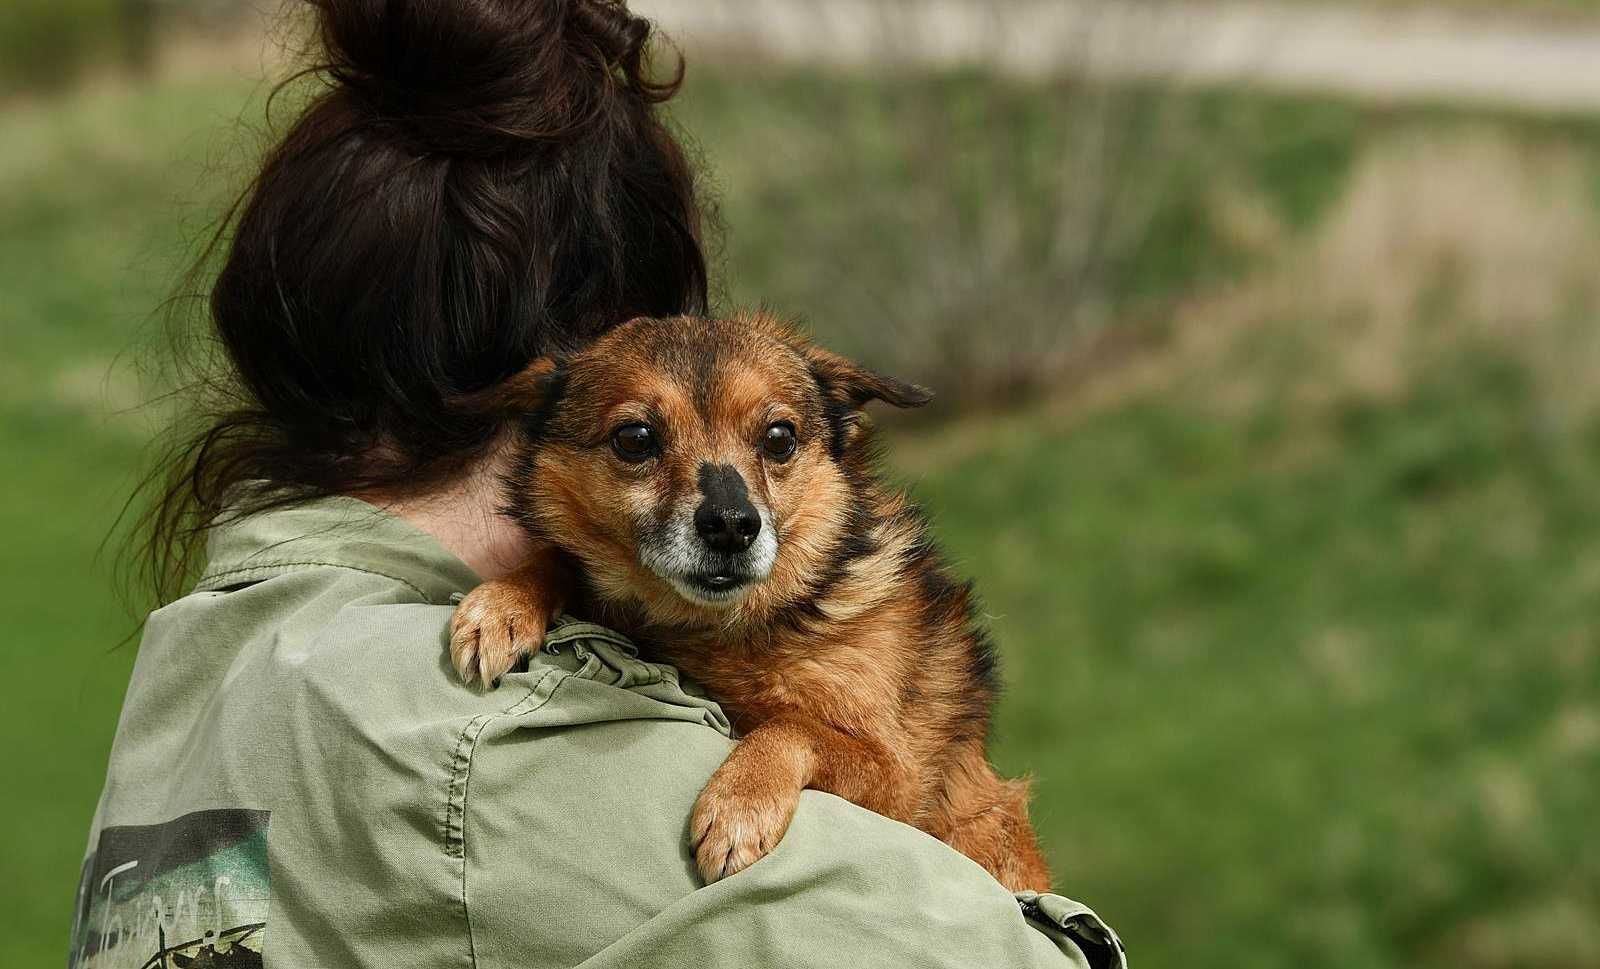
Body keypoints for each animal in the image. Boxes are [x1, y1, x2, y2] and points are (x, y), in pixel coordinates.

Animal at [444, 315, 1056, 895]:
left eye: (779, 437)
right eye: (635, 438)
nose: (732, 525)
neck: (720, 630)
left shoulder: (896, 776)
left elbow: (792, 727)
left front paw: (739, 805)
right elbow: (559, 558)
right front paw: (501, 606)